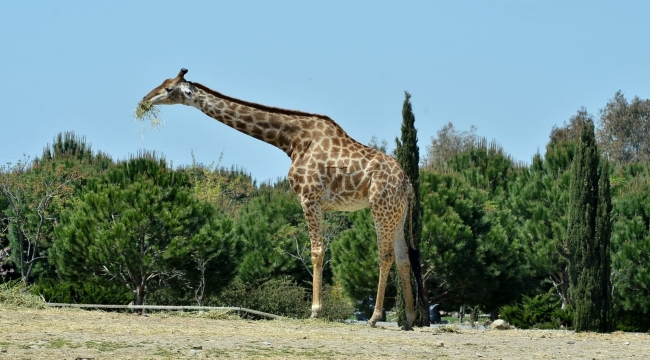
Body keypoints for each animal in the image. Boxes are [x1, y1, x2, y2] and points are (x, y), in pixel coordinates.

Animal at [142, 69, 426, 330]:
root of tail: (408, 183)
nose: (145, 99)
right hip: (397, 212)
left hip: (380, 206)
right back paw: (409, 319)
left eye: (168, 88)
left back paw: (375, 317)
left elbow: (317, 252)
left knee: (386, 254)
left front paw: (315, 311)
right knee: (403, 256)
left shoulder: (309, 198)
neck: (291, 141)